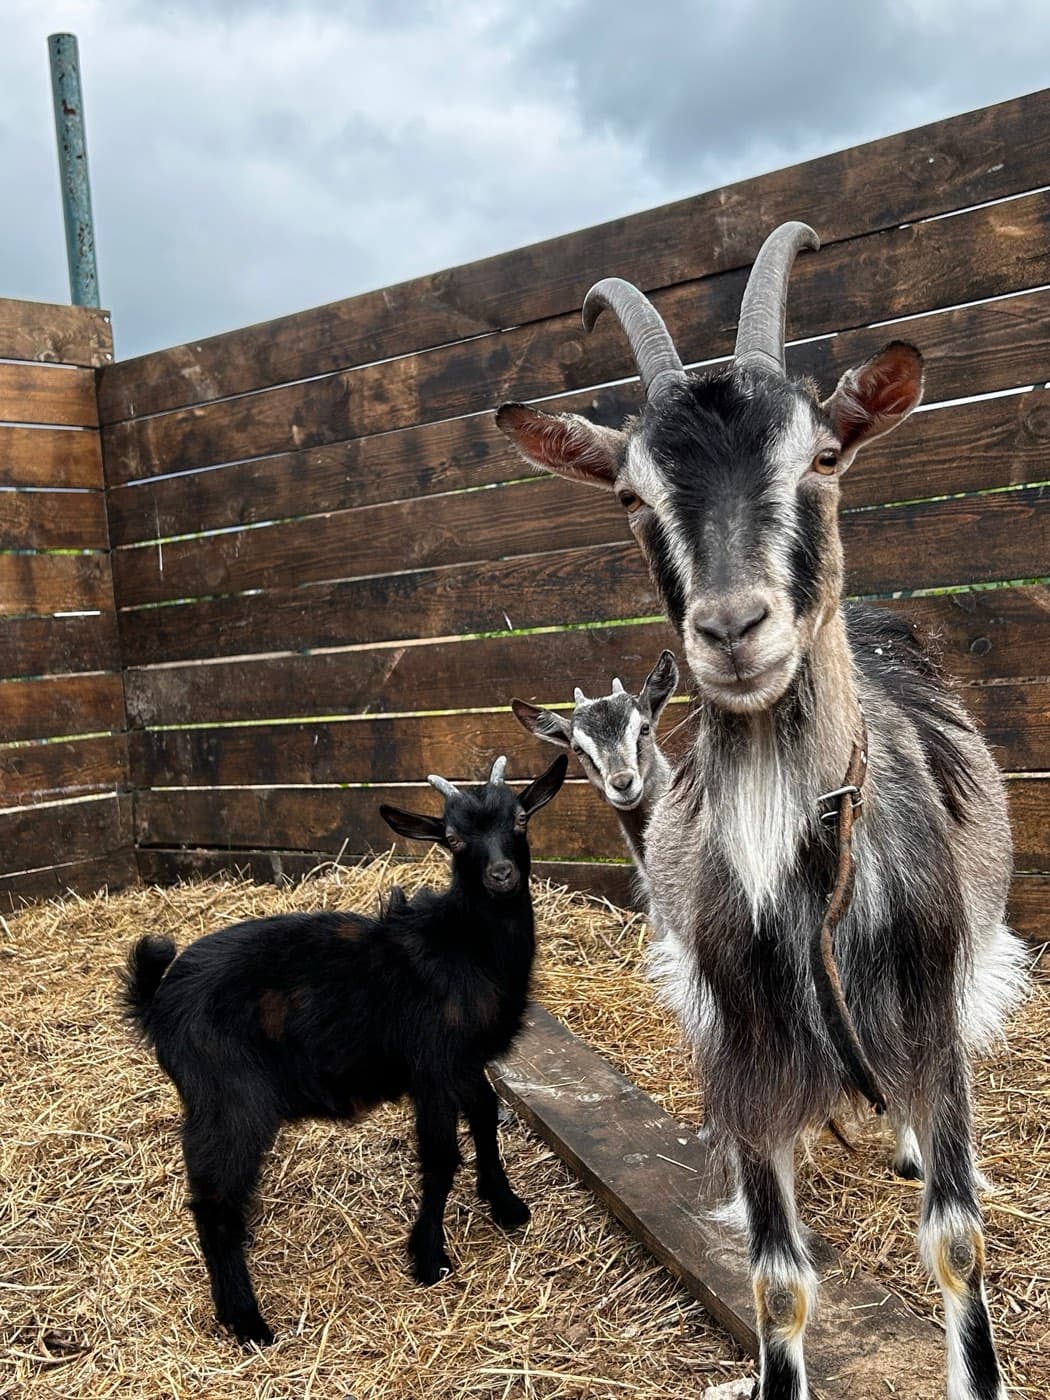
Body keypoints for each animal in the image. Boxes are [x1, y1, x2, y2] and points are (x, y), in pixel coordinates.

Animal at [121, 753, 568, 1346]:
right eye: (452, 839)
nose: (501, 875)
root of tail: (156, 1002)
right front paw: (428, 1258)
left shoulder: (465, 1061)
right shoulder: (432, 1065)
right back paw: (248, 1321)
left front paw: (506, 1206)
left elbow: (485, 1117)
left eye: (520, 819)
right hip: (230, 1100)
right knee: (215, 1199)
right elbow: (440, 1155)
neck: (464, 946)